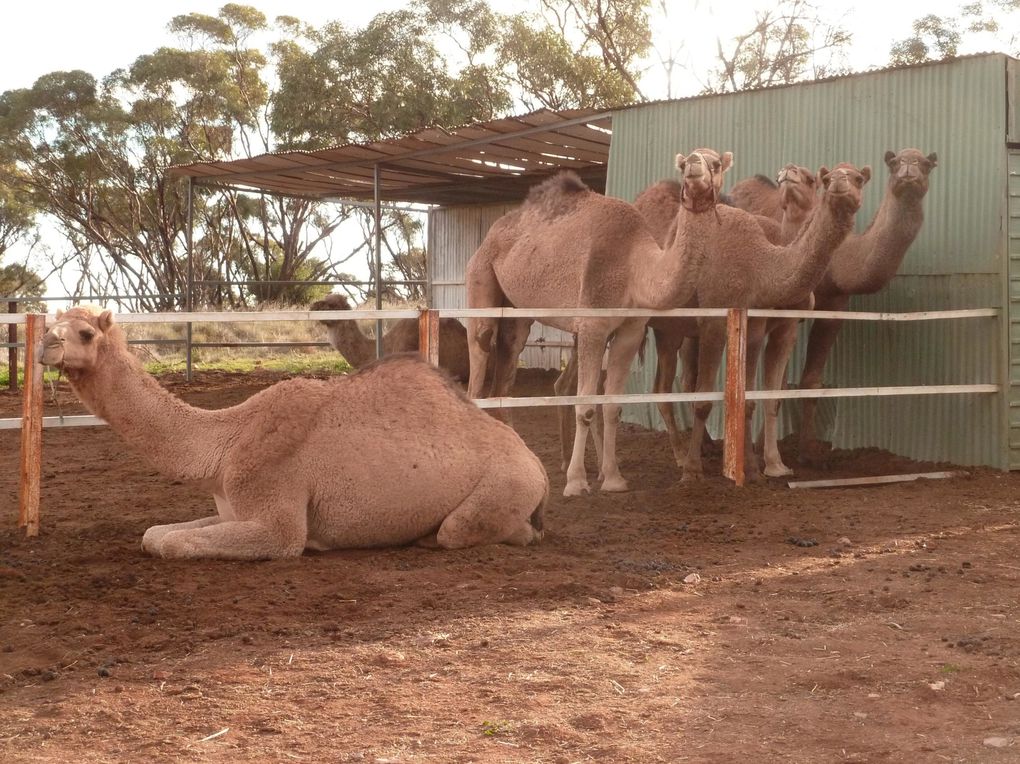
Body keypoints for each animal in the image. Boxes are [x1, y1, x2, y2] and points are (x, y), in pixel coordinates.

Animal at [467, 149, 738, 497]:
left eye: (715, 164)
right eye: (684, 164)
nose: (693, 164)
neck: (636, 267)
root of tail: (491, 234)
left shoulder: (630, 331)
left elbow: (611, 405)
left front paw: (613, 478)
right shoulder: (593, 325)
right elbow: (585, 405)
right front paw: (576, 482)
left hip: (518, 315)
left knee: (503, 380)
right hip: (481, 279)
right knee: (479, 355)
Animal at [795, 147, 938, 459]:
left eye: (926, 164)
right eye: (895, 162)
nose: (908, 170)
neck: (838, 262)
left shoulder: (834, 305)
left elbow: (810, 380)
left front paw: (810, 451)